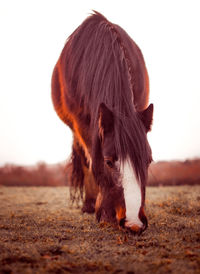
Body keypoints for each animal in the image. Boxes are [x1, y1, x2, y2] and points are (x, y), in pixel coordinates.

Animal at [51, 10, 153, 233]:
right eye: (108, 161)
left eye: (148, 161)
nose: (134, 223)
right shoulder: (82, 124)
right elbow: (92, 160)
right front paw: (104, 212)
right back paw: (89, 205)